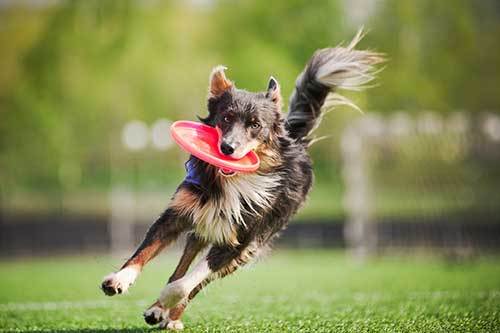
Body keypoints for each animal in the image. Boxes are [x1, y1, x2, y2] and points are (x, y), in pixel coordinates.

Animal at [100, 30, 382, 330]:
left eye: (255, 125)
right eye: (226, 117)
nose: (227, 148)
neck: (231, 183)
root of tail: (295, 137)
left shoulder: (241, 240)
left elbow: (188, 282)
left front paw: (168, 299)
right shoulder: (178, 213)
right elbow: (145, 251)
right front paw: (119, 280)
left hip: (249, 246)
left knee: (196, 282)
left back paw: (170, 314)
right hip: (201, 229)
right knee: (184, 263)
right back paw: (158, 310)